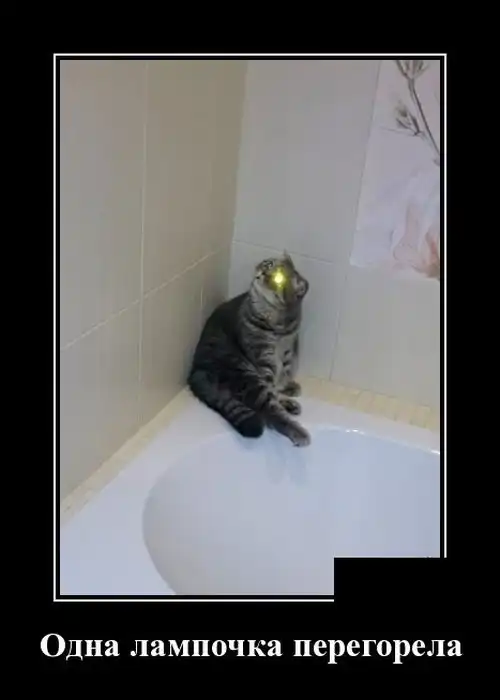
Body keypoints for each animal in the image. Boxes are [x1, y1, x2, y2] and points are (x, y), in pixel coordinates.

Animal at [187, 250, 311, 447]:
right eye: (269, 264)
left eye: (279, 279)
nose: (262, 272)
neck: (278, 323)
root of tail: (196, 370)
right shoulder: (263, 358)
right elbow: (272, 393)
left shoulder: (286, 352)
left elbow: (281, 377)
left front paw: (285, 386)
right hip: (245, 374)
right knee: (270, 407)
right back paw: (296, 429)